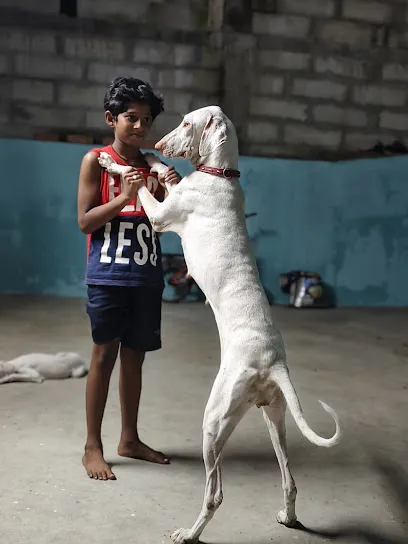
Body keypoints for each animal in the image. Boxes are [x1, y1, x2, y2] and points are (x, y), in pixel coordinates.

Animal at [98, 105, 342, 544]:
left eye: (186, 123)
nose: (157, 142)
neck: (220, 174)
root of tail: (273, 363)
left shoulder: (161, 216)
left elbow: (139, 185)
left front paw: (118, 165)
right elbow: (164, 173)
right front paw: (152, 160)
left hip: (214, 421)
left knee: (215, 494)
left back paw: (189, 533)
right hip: (273, 417)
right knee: (289, 478)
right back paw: (289, 517)